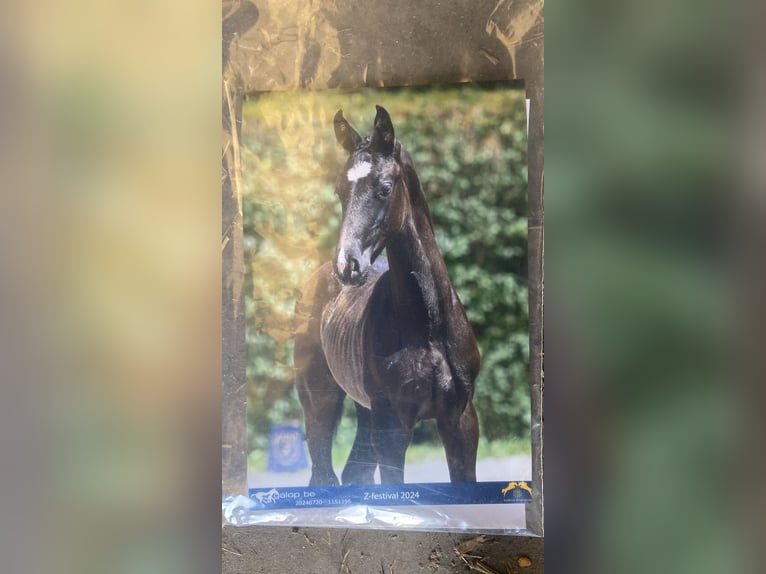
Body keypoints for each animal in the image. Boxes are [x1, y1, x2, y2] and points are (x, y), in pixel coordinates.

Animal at [294, 107, 480, 486]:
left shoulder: (462, 420)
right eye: (339, 191)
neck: (427, 325)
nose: (347, 265)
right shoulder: (393, 428)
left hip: (366, 413)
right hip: (321, 401)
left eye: (384, 188)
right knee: (324, 475)